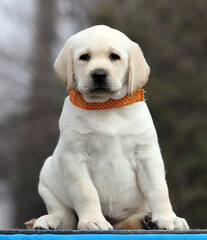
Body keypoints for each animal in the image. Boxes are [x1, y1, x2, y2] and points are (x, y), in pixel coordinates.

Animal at [31, 25, 189, 230]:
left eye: (114, 56)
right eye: (84, 57)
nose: (99, 74)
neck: (106, 106)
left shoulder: (147, 153)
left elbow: (159, 189)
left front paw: (168, 218)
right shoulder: (75, 157)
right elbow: (86, 192)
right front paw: (93, 220)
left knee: (125, 222)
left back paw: (145, 220)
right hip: (46, 178)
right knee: (66, 215)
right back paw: (50, 220)